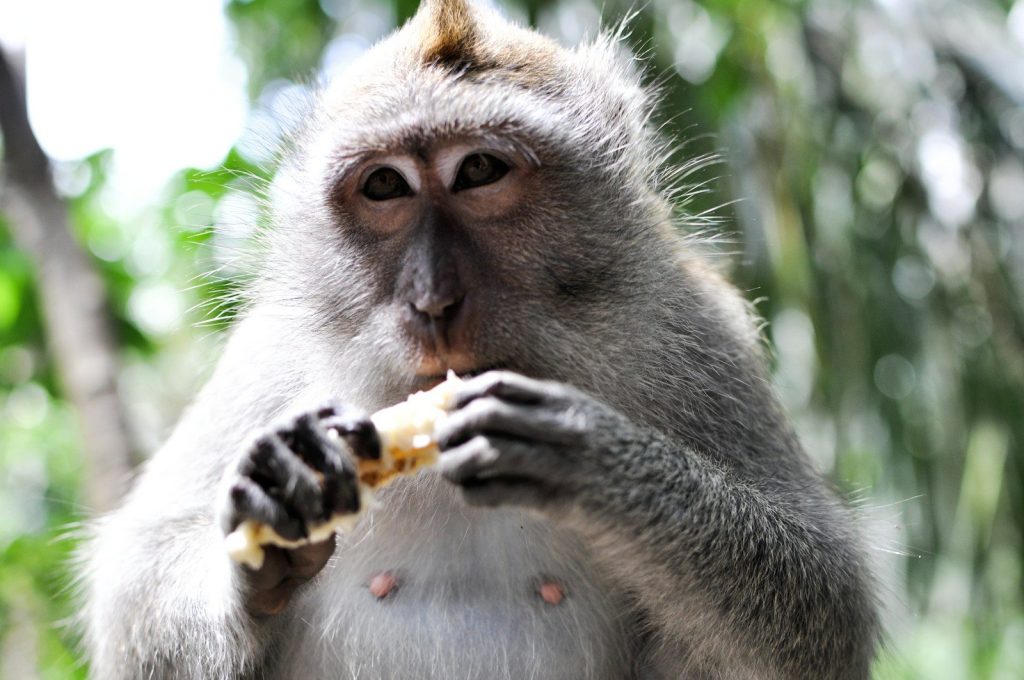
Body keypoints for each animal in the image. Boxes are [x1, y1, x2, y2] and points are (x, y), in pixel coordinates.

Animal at [80, 1, 879, 678]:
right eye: (385, 185)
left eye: (479, 171)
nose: (432, 300)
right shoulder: (268, 356)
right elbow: (132, 599)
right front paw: (269, 511)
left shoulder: (693, 329)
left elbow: (827, 601)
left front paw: (594, 460)